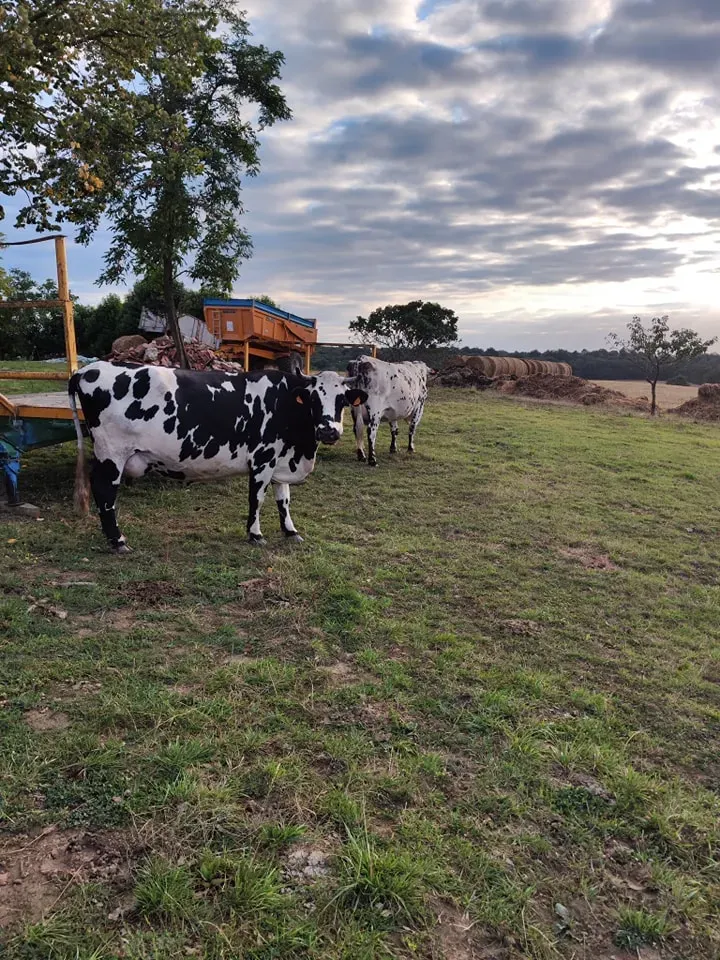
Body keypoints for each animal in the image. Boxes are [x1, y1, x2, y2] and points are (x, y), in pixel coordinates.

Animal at [68, 361, 367, 554]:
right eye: (314, 399)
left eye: (342, 400)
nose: (328, 430)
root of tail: (87, 368)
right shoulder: (262, 459)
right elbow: (257, 499)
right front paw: (255, 535)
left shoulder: (281, 459)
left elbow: (284, 499)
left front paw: (290, 532)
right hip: (112, 454)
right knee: (104, 492)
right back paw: (117, 541)